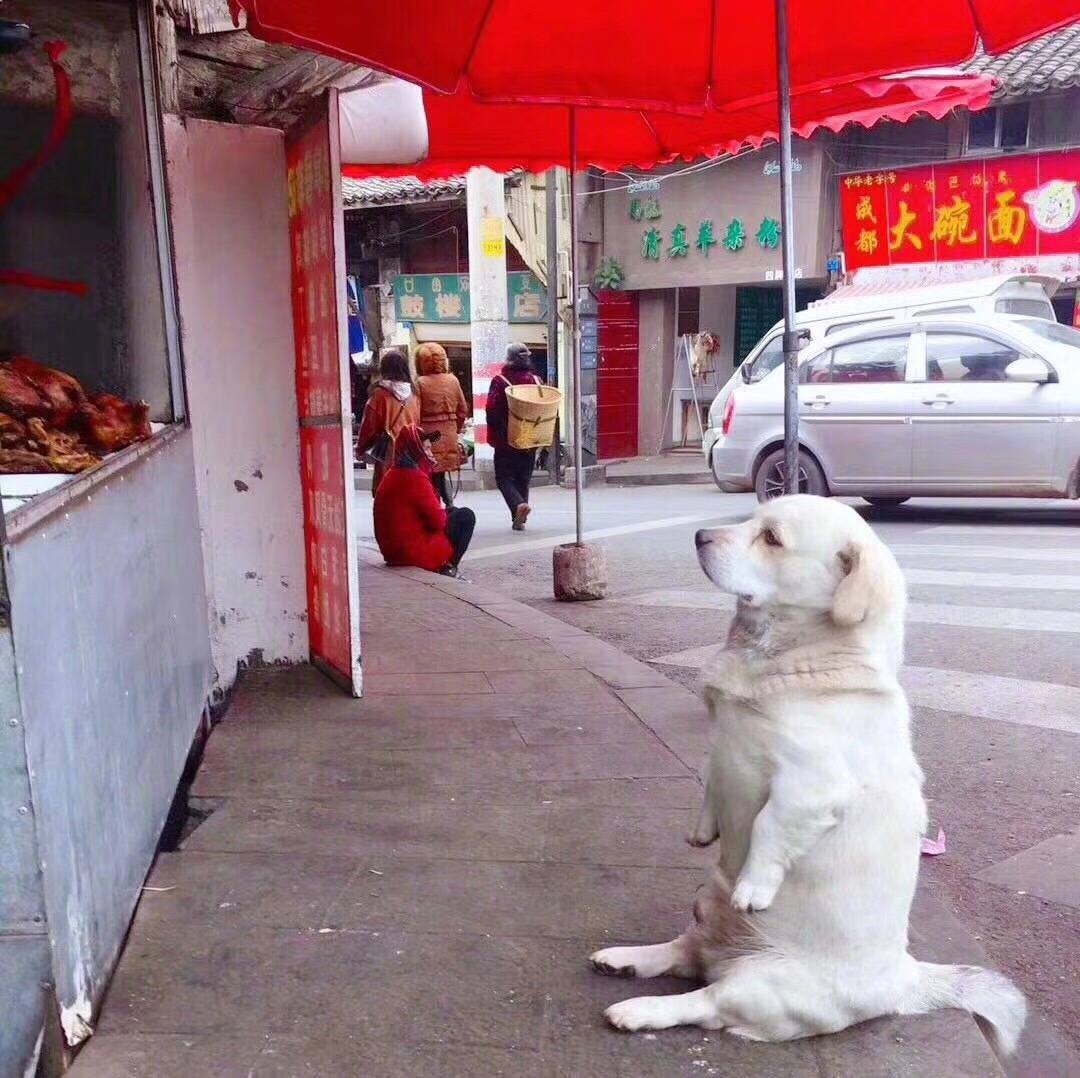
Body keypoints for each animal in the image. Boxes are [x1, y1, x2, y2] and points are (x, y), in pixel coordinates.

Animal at [596, 494, 1023, 1054]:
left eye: (772, 538)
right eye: (753, 518)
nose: (700, 536)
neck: (784, 657)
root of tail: (904, 979)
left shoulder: (810, 786)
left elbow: (768, 828)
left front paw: (754, 885)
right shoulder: (720, 746)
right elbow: (711, 779)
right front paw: (703, 829)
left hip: (760, 984)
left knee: (702, 1001)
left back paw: (638, 1009)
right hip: (705, 904)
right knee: (684, 953)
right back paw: (626, 960)